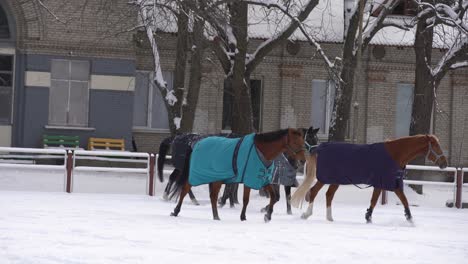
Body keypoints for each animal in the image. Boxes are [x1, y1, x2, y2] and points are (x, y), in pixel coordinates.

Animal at [168, 127, 308, 221]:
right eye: (295, 142)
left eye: (303, 142)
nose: (303, 161)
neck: (261, 151)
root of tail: (195, 144)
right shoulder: (249, 180)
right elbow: (246, 200)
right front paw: (243, 217)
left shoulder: (264, 180)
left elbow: (274, 197)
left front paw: (267, 215)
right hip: (200, 176)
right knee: (186, 189)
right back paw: (176, 211)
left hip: (216, 178)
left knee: (212, 197)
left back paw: (216, 216)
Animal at [290, 134, 448, 223]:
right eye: (436, 146)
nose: (444, 163)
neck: (395, 154)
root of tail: (320, 147)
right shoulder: (383, 182)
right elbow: (377, 200)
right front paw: (369, 218)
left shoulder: (391, 183)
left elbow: (403, 200)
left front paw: (410, 219)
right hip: (325, 178)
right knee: (314, 192)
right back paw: (307, 214)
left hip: (335, 181)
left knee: (328, 195)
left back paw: (330, 218)